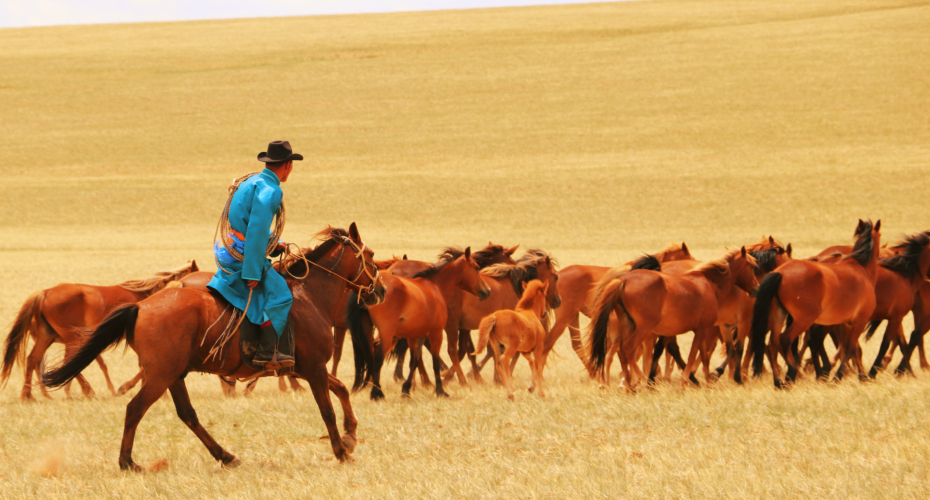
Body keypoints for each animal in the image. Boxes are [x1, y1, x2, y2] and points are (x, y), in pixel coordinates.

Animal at [1, 260, 198, 400]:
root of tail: (45, 292)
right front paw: (126, 388)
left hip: (48, 336)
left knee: (33, 359)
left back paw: (28, 395)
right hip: (71, 338)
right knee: (67, 363)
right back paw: (85, 391)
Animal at [348, 248, 492, 400]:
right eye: (476, 268)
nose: (487, 291)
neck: (435, 287)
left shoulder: (415, 336)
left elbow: (414, 360)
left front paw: (406, 389)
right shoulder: (436, 334)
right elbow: (435, 362)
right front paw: (440, 390)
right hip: (387, 334)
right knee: (378, 357)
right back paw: (377, 392)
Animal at [592, 246, 756, 390]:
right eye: (752, 266)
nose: (756, 288)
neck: (709, 284)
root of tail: (624, 280)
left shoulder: (703, 329)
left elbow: (704, 357)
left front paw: (709, 382)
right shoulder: (701, 330)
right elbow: (692, 355)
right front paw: (685, 382)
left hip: (628, 324)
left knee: (622, 352)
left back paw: (629, 385)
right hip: (644, 329)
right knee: (629, 348)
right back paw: (640, 380)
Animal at [752, 221, 880, 388]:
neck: (861, 268)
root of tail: (780, 273)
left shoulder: (839, 323)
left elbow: (847, 347)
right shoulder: (858, 321)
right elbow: (850, 347)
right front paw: (840, 376)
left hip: (779, 316)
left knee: (772, 343)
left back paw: (779, 381)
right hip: (803, 320)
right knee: (785, 339)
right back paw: (792, 373)